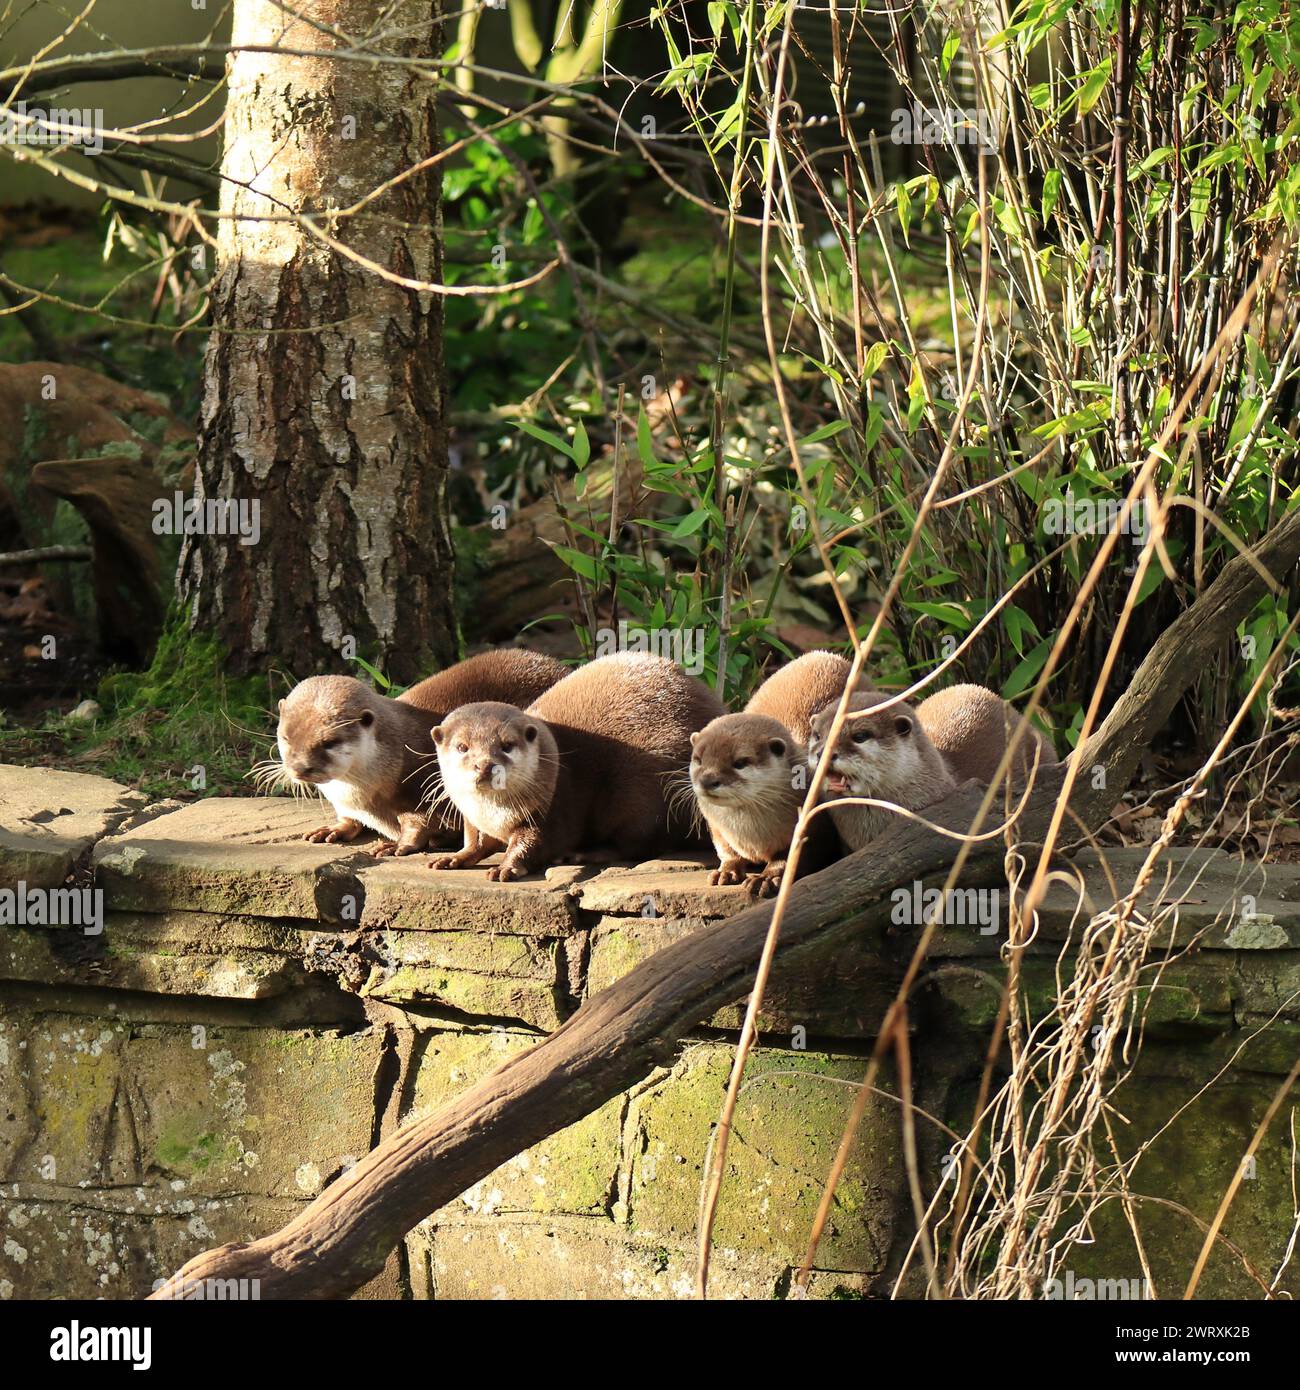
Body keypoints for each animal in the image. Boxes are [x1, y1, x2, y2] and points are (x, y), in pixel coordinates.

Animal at [266, 644, 567, 850]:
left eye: (329, 742)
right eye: (286, 737)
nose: (299, 769)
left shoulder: (419, 787)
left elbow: (418, 822)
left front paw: (396, 845)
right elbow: (348, 819)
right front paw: (333, 829)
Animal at [428, 650, 728, 878]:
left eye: (507, 745)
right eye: (462, 747)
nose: (485, 765)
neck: (492, 816)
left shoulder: (551, 810)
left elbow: (534, 842)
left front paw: (507, 867)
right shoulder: (473, 818)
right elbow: (475, 841)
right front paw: (454, 858)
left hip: (641, 796)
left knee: (640, 845)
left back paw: (584, 853)